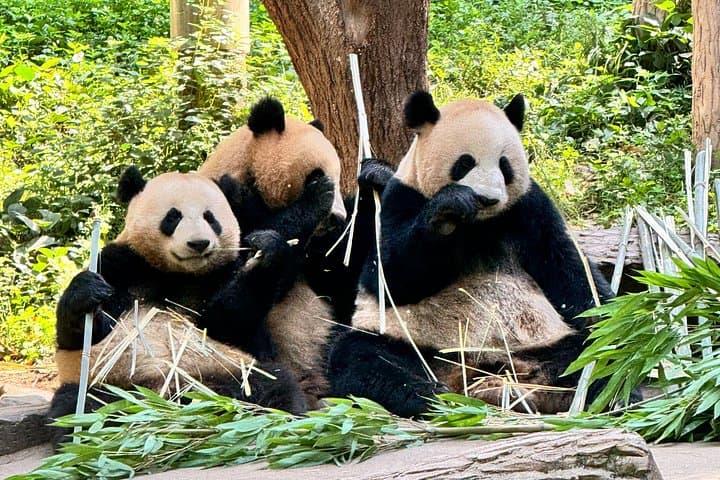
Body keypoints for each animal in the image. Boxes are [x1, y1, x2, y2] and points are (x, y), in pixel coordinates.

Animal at [48, 168, 307, 445]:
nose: (198, 243)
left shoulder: (220, 276)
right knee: (80, 407)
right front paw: (87, 291)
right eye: (173, 216)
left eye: (210, 217)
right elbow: (82, 336)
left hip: (231, 370)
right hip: (110, 385)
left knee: (274, 389)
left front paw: (266, 250)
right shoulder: (121, 264)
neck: (178, 273)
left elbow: (228, 322)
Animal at [198, 97, 371, 408]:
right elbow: (216, 316)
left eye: (342, 175)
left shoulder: (320, 256)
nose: (338, 218)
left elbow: (346, 278)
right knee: (263, 382)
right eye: (316, 174)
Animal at [327, 91, 614, 417]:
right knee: (362, 357)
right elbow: (389, 276)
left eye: (504, 165)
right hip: (419, 347)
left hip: (540, 345)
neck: (479, 224)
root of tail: (475, 370)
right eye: (464, 163)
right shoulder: (400, 198)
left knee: (590, 357)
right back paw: (434, 398)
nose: (486, 198)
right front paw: (449, 209)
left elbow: (568, 268)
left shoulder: (529, 208)